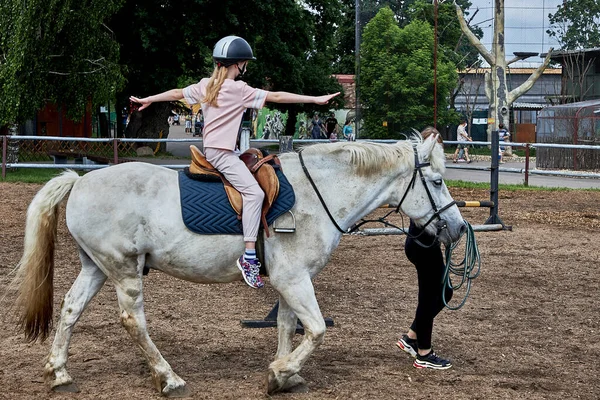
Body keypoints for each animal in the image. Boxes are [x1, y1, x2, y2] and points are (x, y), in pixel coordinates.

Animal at [12, 134, 464, 396]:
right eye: (437, 181)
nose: (458, 228)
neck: (317, 194)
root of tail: (81, 180)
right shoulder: (294, 279)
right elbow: (316, 329)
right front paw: (281, 371)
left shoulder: (289, 281)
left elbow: (287, 326)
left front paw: (285, 375)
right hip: (123, 269)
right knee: (132, 321)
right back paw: (167, 377)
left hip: (96, 267)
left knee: (71, 308)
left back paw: (59, 371)